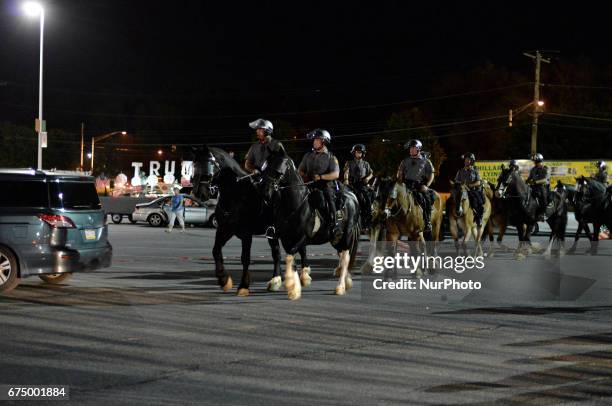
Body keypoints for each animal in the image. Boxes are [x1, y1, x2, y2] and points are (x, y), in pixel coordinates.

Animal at [191, 146, 308, 294]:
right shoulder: (224, 229)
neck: (235, 195)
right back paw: (275, 280)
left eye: (209, 163)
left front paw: (243, 286)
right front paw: (223, 279)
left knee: (301, 248)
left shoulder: (246, 234)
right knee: (277, 253)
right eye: (194, 165)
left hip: (293, 230)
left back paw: (304, 276)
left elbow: (245, 258)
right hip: (274, 233)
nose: (199, 193)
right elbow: (216, 251)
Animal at [256, 145, 360, 298]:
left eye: (277, 169)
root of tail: (353, 197)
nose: (264, 192)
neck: (294, 204)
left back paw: (340, 287)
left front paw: (293, 287)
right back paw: (346, 281)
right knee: (341, 256)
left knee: (345, 258)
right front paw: (275, 281)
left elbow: (290, 256)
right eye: (264, 168)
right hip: (336, 239)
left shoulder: (302, 238)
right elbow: (278, 255)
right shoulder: (277, 237)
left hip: (346, 235)